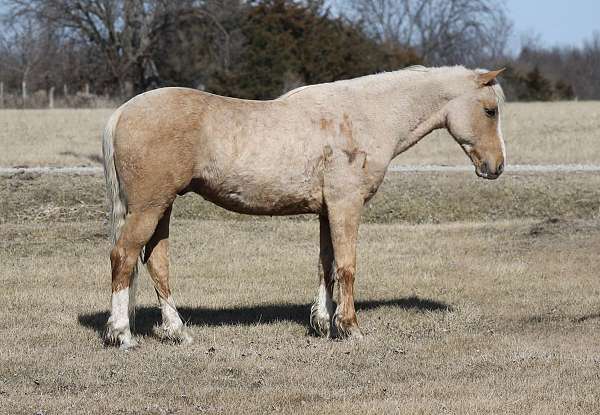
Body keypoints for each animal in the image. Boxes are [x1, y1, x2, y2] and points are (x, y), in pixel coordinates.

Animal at [103, 66, 506, 352]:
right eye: (490, 111)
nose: (497, 166)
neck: (364, 116)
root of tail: (122, 112)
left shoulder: (327, 211)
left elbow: (325, 265)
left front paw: (324, 323)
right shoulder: (346, 206)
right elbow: (346, 267)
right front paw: (350, 328)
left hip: (162, 209)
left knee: (156, 263)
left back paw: (177, 332)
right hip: (148, 208)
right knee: (124, 257)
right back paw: (122, 335)